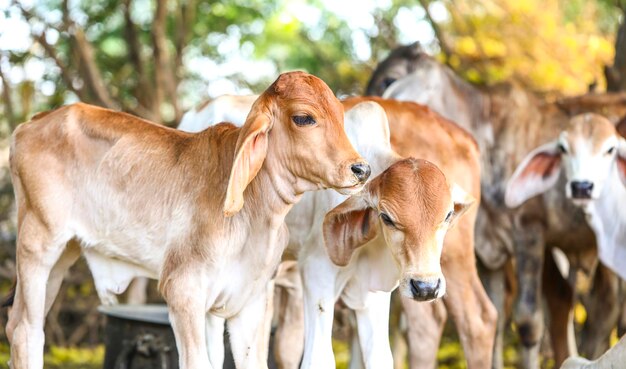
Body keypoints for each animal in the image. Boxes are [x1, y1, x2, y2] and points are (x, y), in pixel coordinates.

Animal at [4, 72, 368, 368]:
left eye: (340, 116)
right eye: (304, 118)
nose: (360, 168)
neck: (258, 216)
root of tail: (31, 122)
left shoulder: (249, 301)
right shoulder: (183, 289)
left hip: (63, 254)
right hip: (38, 243)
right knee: (25, 330)